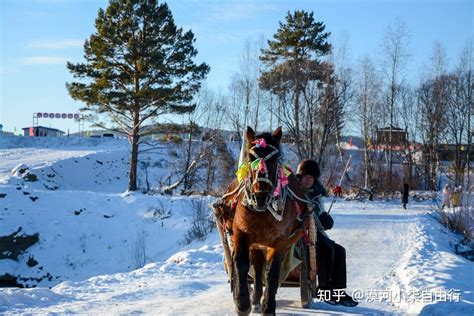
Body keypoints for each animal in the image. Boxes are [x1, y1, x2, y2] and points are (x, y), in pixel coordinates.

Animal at [228, 126, 310, 316]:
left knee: (267, 272)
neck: (263, 211)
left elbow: (272, 273)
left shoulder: (280, 241)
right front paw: (242, 303)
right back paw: (255, 300)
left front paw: (268, 307)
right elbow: (241, 264)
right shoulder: (241, 234)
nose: (260, 196)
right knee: (258, 269)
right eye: (251, 158)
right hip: (257, 245)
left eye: (274, 159)